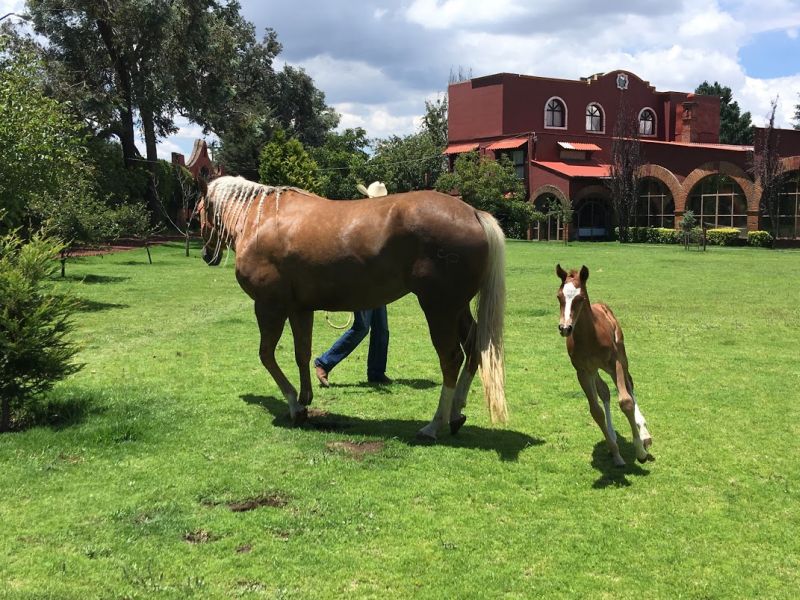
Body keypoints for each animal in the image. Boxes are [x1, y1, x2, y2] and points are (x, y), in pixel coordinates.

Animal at [198, 176, 506, 438]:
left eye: (198, 211)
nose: (206, 255)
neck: (261, 218)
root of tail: (472, 213)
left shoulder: (268, 306)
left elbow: (266, 356)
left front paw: (294, 406)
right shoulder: (300, 309)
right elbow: (302, 353)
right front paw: (305, 399)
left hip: (439, 309)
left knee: (451, 358)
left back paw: (434, 425)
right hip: (457, 308)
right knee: (474, 347)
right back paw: (456, 413)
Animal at [560, 264, 652, 466]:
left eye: (580, 298)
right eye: (559, 296)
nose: (565, 328)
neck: (590, 337)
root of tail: (601, 305)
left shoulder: (614, 362)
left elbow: (626, 401)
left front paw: (640, 450)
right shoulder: (582, 371)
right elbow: (596, 411)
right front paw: (616, 452)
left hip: (621, 356)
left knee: (629, 384)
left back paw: (644, 434)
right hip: (595, 370)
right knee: (605, 391)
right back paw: (613, 436)